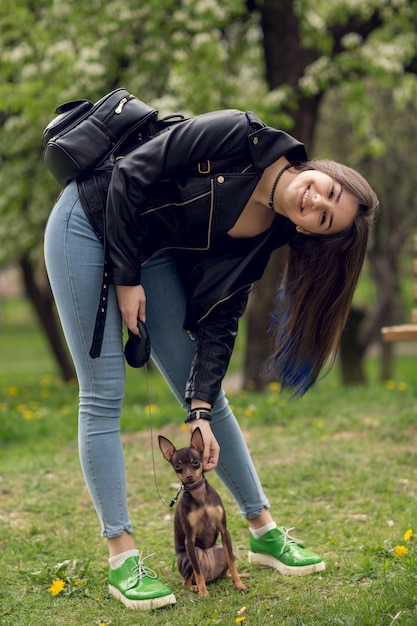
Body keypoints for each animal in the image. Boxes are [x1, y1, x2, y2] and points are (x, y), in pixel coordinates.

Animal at [158, 424, 245, 596]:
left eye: (196, 462)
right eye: (177, 466)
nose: (189, 476)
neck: (200, 496)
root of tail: (211, 574)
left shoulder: (224, 532)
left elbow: (233, 565)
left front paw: (239, 584)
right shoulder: (190, 540)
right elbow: (198, 573)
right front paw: (204, 593)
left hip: (225, 551)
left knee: (225, 571)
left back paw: (238, 576)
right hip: (195, 553)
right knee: (187, 580)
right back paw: (195, 587)